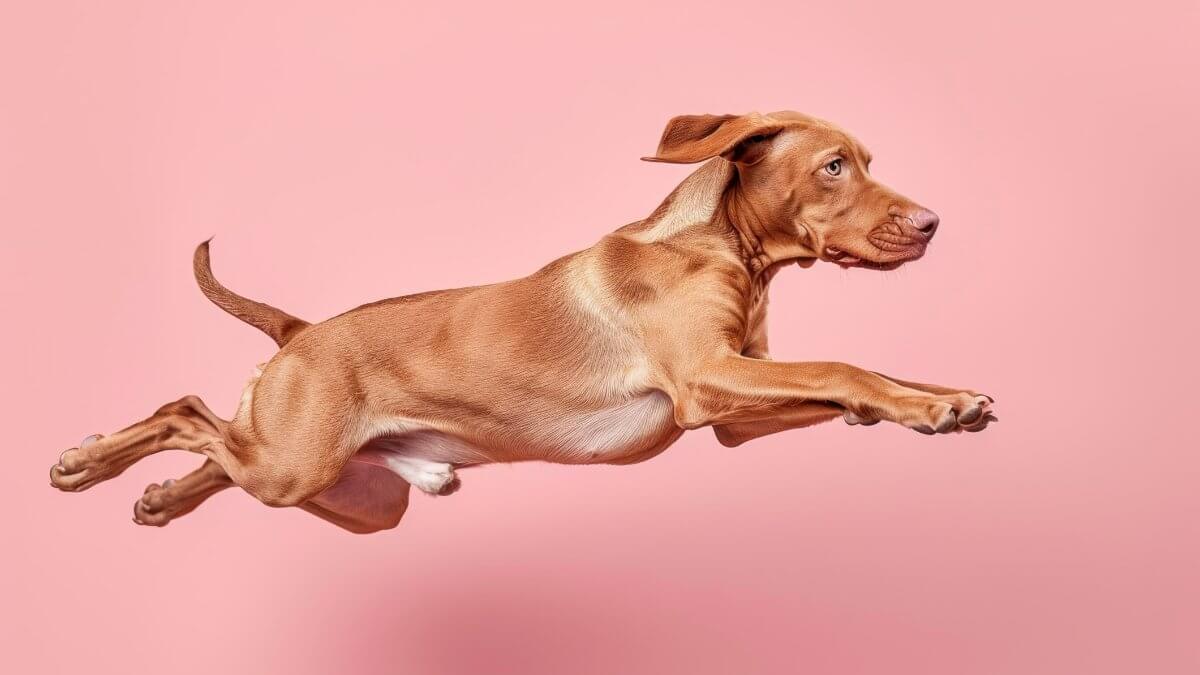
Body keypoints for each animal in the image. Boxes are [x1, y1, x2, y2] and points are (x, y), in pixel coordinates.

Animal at [46, 110, 993, 530]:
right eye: (834, 165)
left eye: (865, 160)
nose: (933, 223)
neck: (723, 247)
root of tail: (301, 330)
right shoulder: (707, 378)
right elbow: (843, 365)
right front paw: (921, 401)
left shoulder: (734, 410)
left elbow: (862, 380)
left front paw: (942, 401)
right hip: (294, 462)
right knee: (183, 410)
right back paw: (86, 462)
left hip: (348, 492)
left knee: (222, 448)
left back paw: (164, 497)